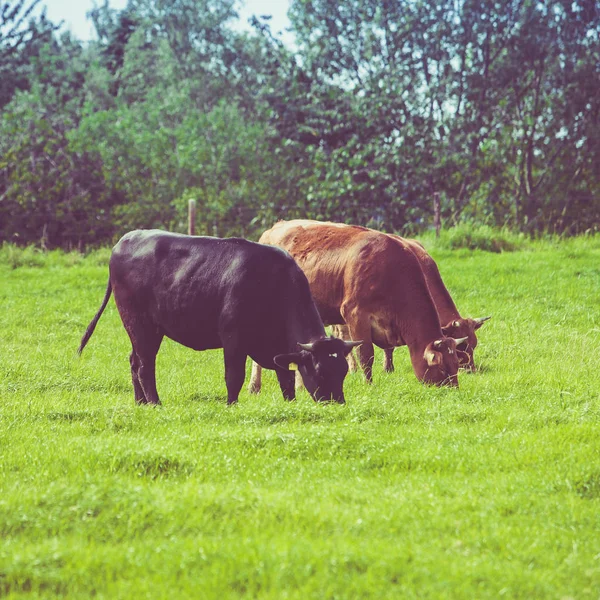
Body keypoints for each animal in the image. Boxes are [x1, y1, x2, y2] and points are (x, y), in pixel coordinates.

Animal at [79, 227, 360, 406]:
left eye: (343, 371)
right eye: (320, 372)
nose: (337, 404)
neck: (273, 284)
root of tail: (125, 240)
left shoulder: (279, 347)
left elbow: (287, 378)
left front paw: (289, 403)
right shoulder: (233, 339)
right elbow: (234, 377)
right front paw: (231, 406)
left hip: (145, 329)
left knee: (134, 360)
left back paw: (141, 403)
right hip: (140, 323)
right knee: (145, 365)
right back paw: (155, 403)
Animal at [246, 220, 466, 390]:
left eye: (456, 364)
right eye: (442, 368)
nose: (453, 391)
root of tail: (273, 228)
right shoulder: (355, 314)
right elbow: (366, 355)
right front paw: (368, 384)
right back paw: (254, 386)